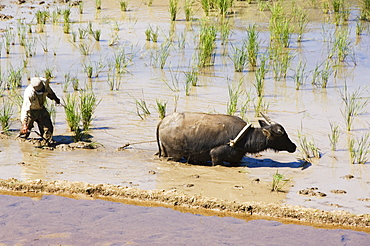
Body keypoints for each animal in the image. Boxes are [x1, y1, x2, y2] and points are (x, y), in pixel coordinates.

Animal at [158, 112, 296, 166]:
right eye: (282, 135)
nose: (294, 146)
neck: (245, 138)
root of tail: (163, 122)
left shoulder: (236, 160)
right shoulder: (215, 156)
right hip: (174, 155)